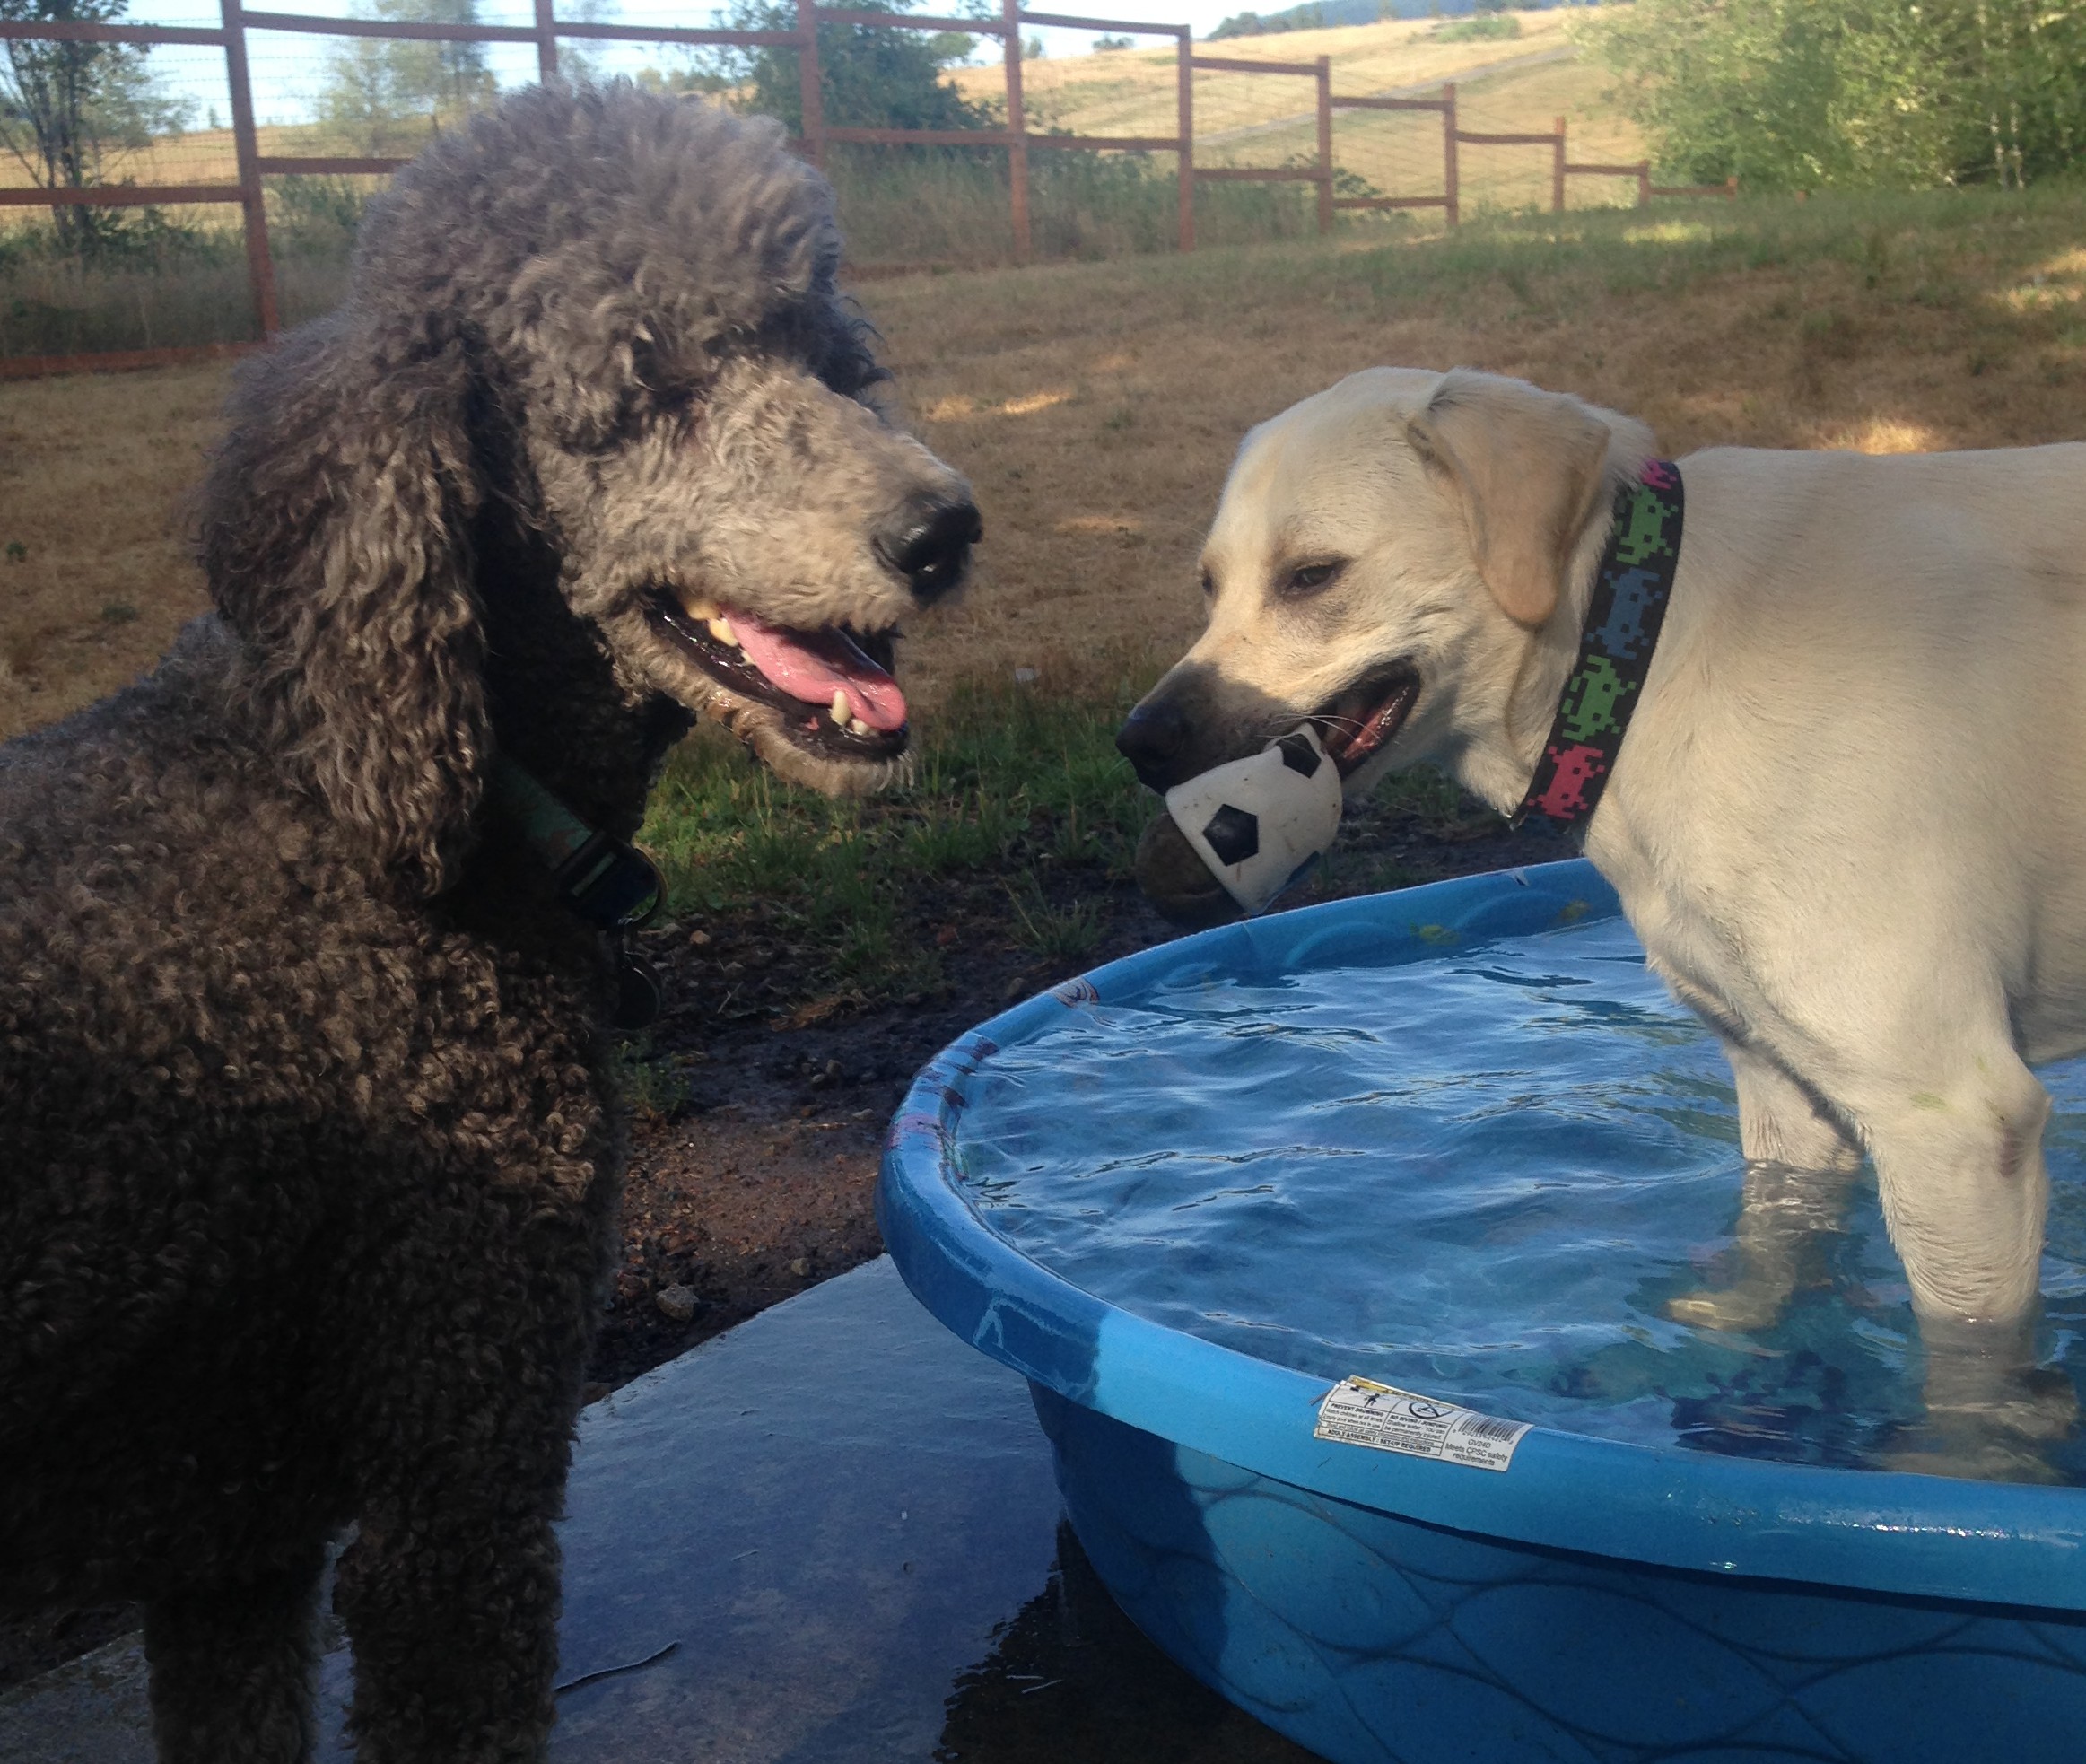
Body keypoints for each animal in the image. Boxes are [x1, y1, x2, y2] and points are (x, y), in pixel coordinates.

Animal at [1118, 365, 2086, 1472]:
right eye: (1208, 583)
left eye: (1312, 576)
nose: (1137, 741)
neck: (1649, 642)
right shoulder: (1782, 1084)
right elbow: (1775, 1247)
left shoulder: (1955, 1123)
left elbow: (1966, 1371)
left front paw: (1968, 1460)